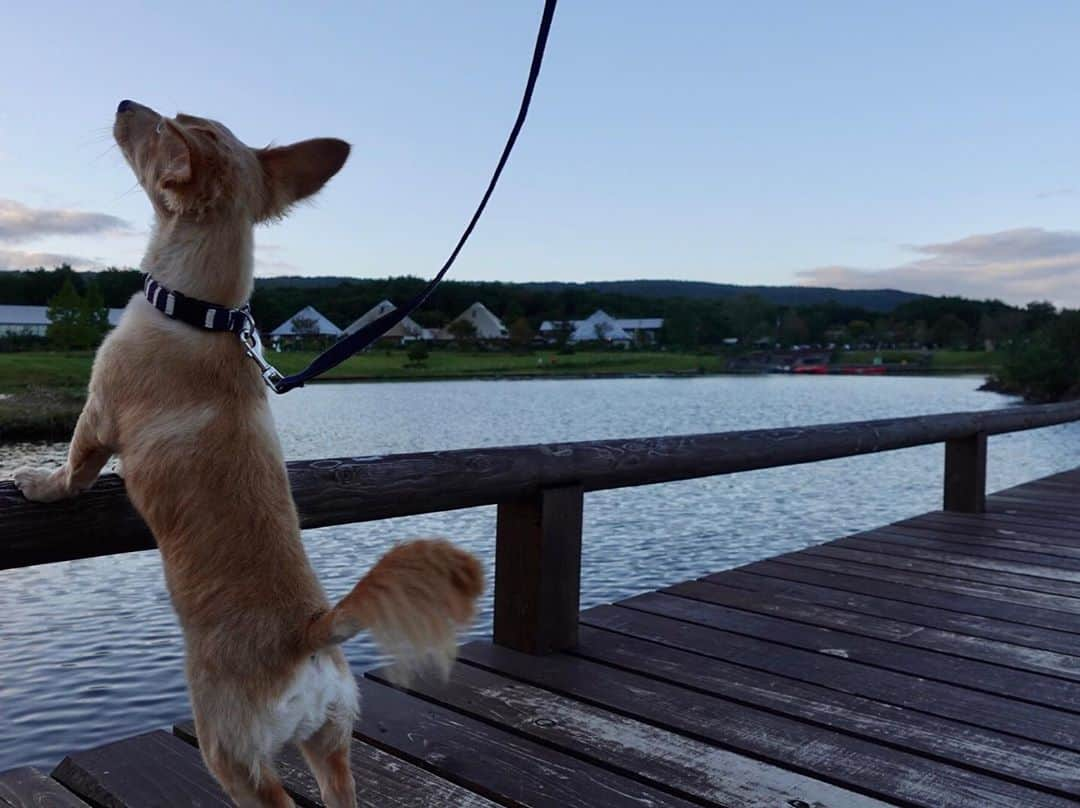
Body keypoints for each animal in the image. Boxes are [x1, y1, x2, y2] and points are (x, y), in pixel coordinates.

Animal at [12, 101, 483, 808]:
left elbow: (72, 470)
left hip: (231, 754)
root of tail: (310, 631)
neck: (202, 314)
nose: (123, 104)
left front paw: (35, 480)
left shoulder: (95, 417)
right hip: (332, 743)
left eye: (160, 125)